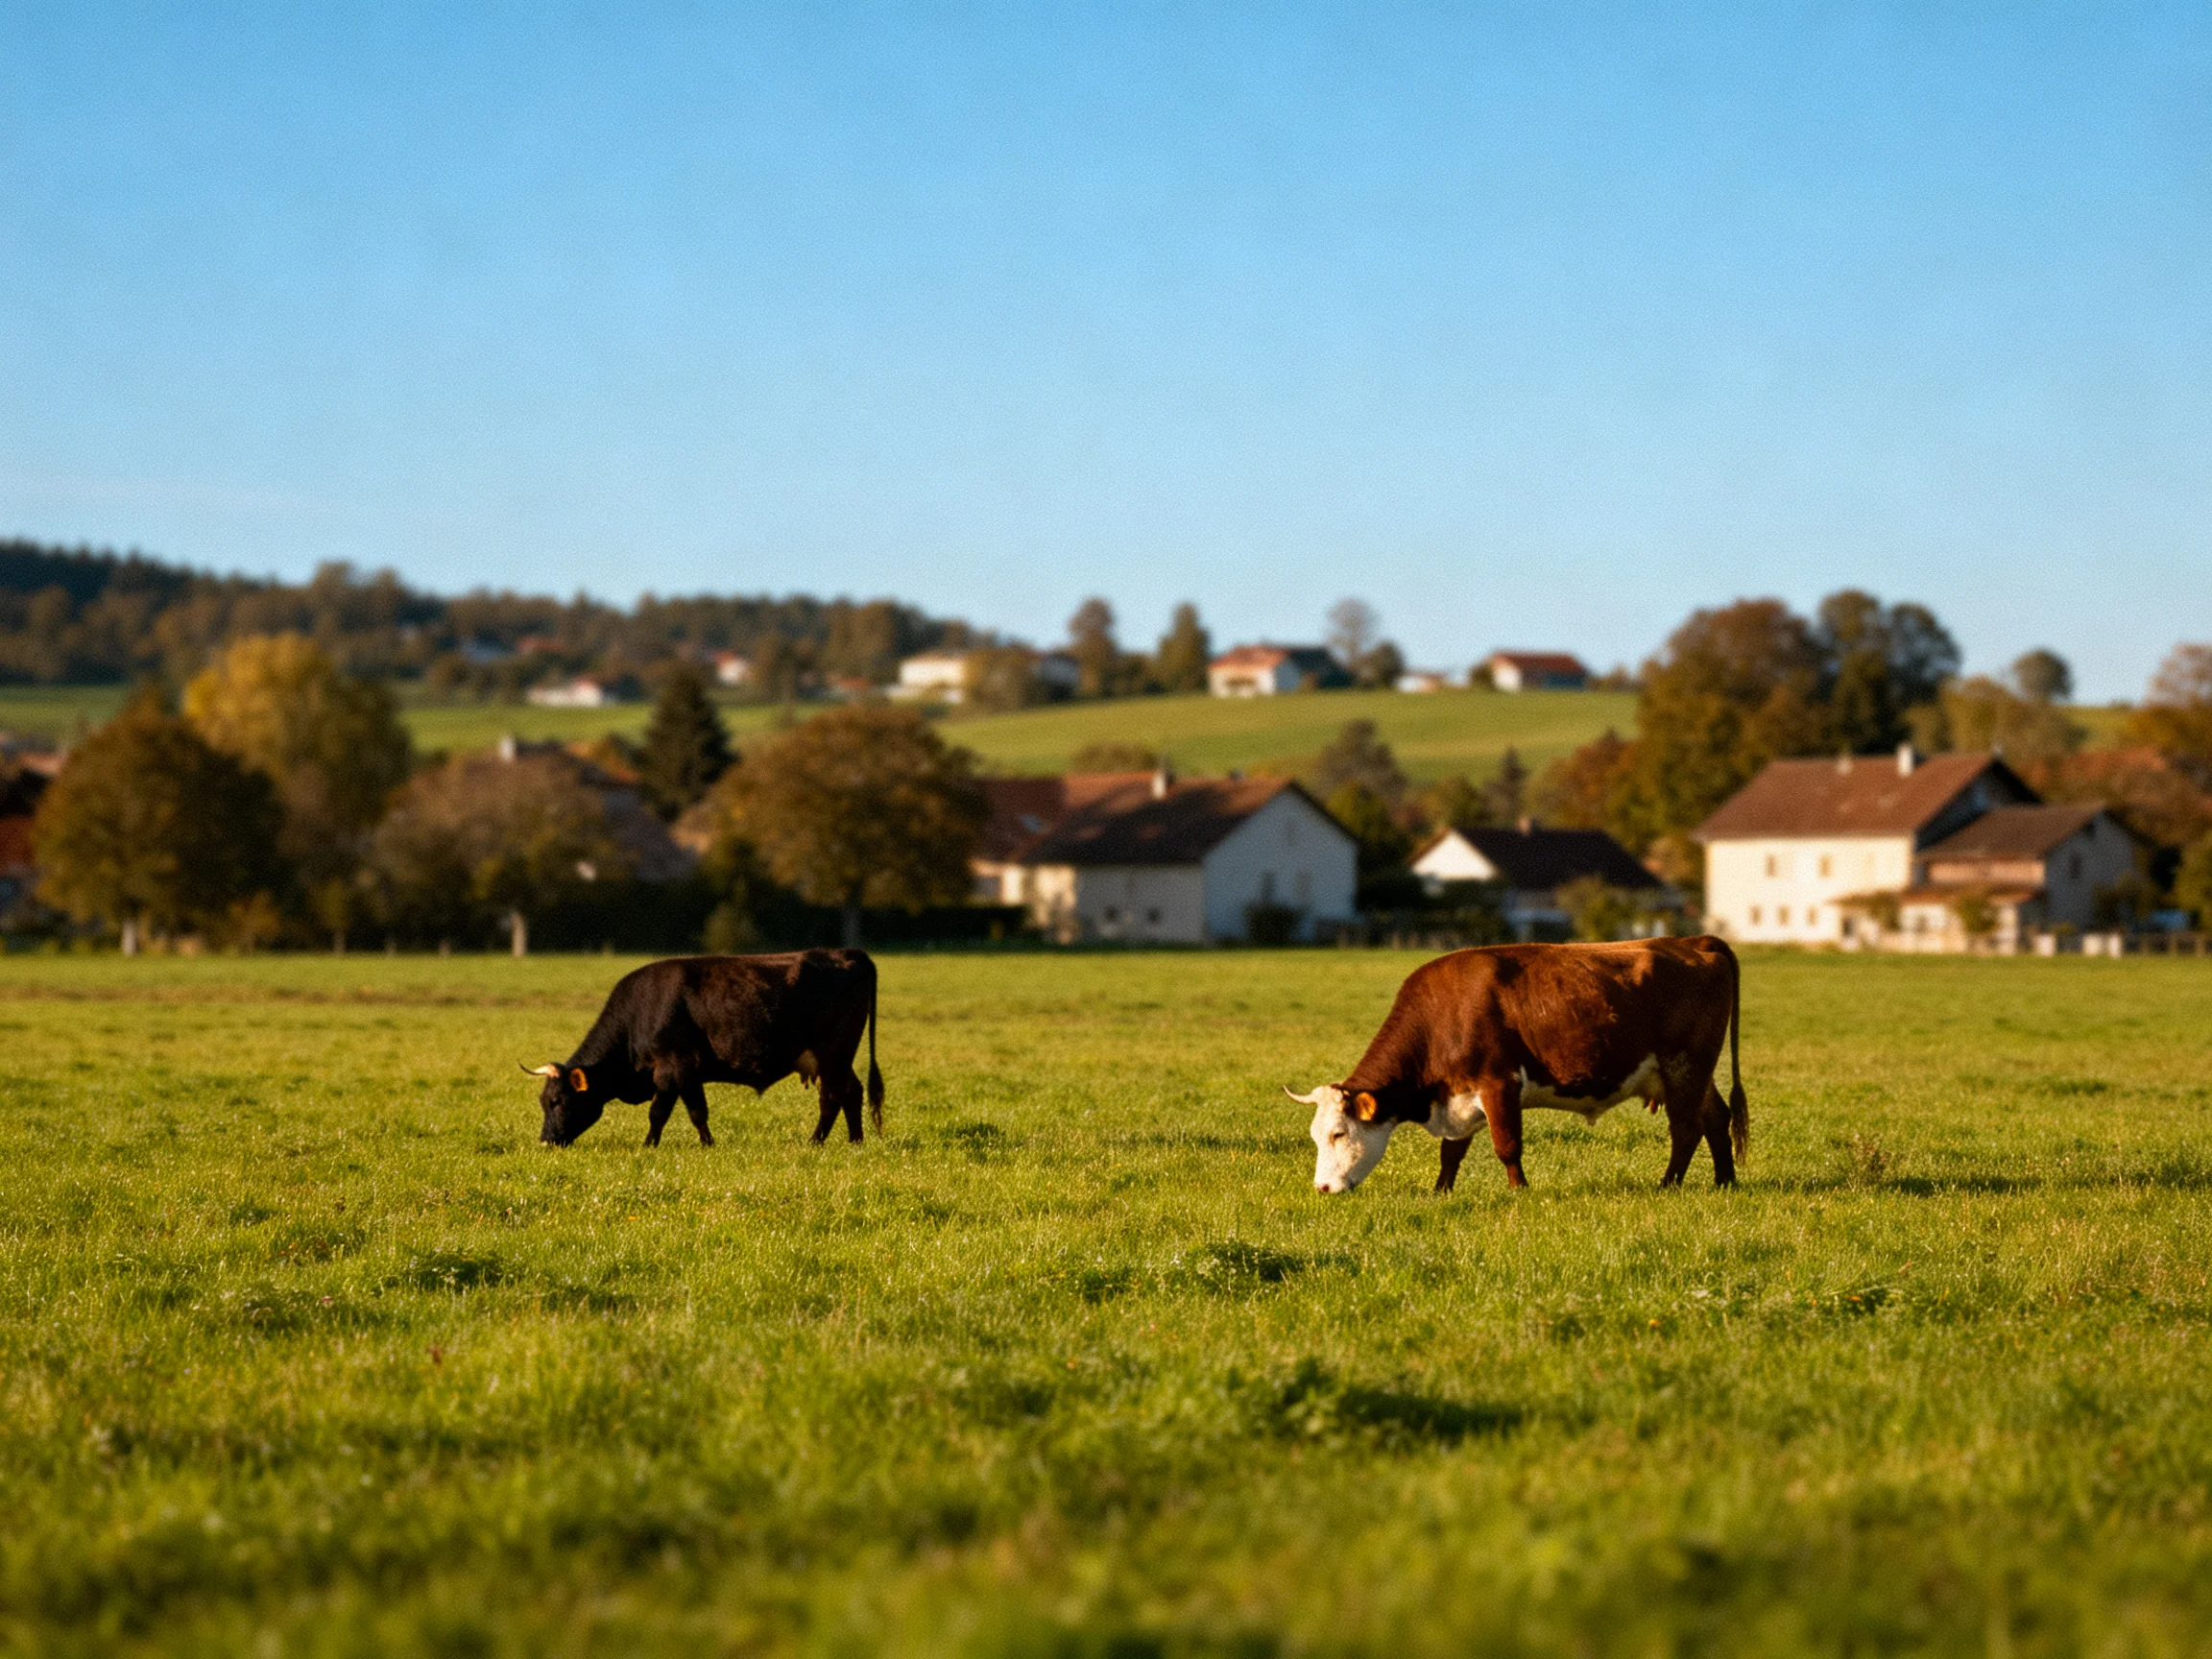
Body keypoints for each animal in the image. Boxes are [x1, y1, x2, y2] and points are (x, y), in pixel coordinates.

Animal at [524, 949, 883, 1149]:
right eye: (543, 1101)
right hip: (834, 1059)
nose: (545, 1141)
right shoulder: (687, 1074)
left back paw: (823, 1141)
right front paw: (704, 1142)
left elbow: (665, 1112)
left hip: (833, 1053)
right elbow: (694, 1110)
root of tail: (847, 953)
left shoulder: (673, 1068)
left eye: (557, 1101)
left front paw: (653, 1144)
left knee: (836, 1096)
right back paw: (851, 1141)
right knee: (848, 1093)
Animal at [1290, 936, 1747, 1194]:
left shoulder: (1499, 1084)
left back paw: (1668, 1185)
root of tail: (1694, 941)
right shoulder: (1459, 1098)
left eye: (1337, 1133)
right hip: (1691, 1073)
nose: (1322, 1187)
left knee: (1686, 1129)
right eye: (1315, 1136)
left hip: (1685, 1065)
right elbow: (1451, 1153)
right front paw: (1441, 1191)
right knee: (1715, 1118)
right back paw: (1725, 1181)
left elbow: (1507, 1146)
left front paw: (1519, 1190)